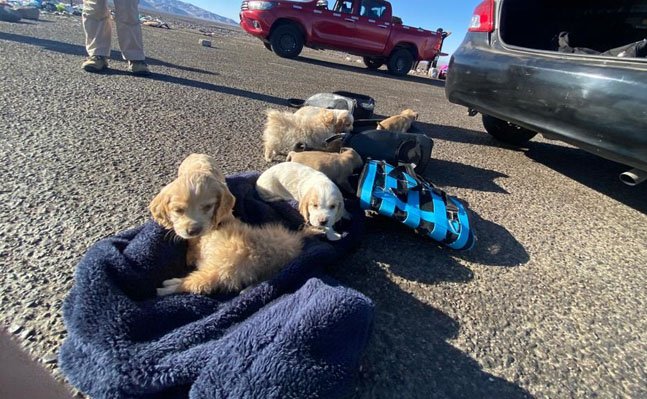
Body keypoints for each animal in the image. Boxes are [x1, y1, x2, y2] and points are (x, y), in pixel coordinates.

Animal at [152, 155, 314, 296]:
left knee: (195, 282)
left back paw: (169, 286)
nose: (193, 230)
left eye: (208, 207)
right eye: (178, 210)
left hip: (218, 268)